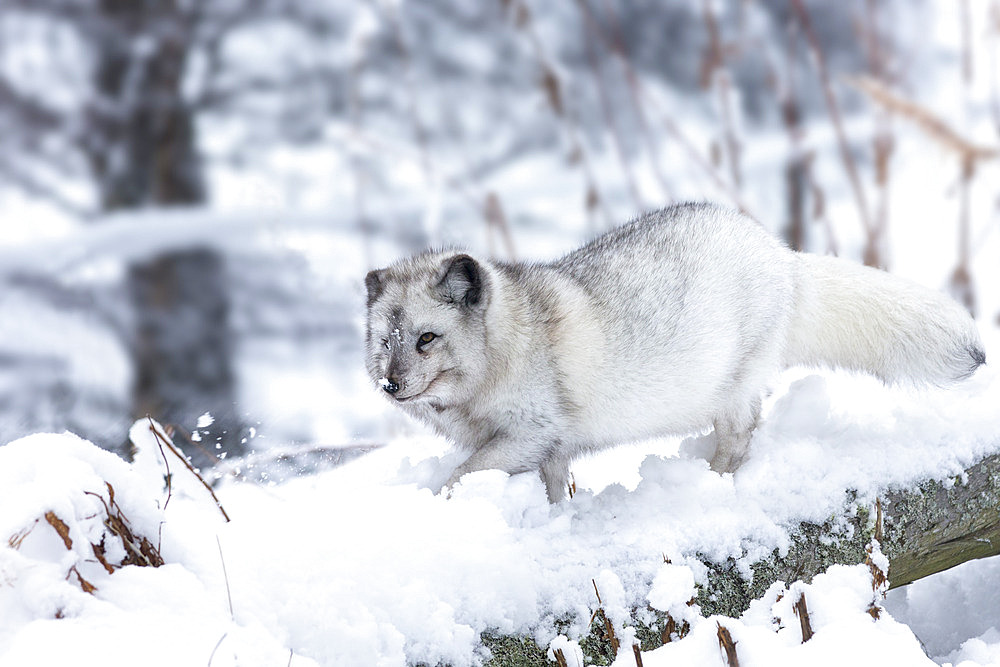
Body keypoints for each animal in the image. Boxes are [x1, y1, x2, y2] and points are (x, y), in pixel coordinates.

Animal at [366, 204, 984, 500]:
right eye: (384, 343)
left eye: (426, 338)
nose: (390, 385)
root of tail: (781, 253)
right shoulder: (548, 450)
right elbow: (553, 487)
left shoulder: (532, 431)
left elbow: (463, 473)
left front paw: (438, 502)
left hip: (735, 384)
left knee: (740, 435)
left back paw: (714, 478)